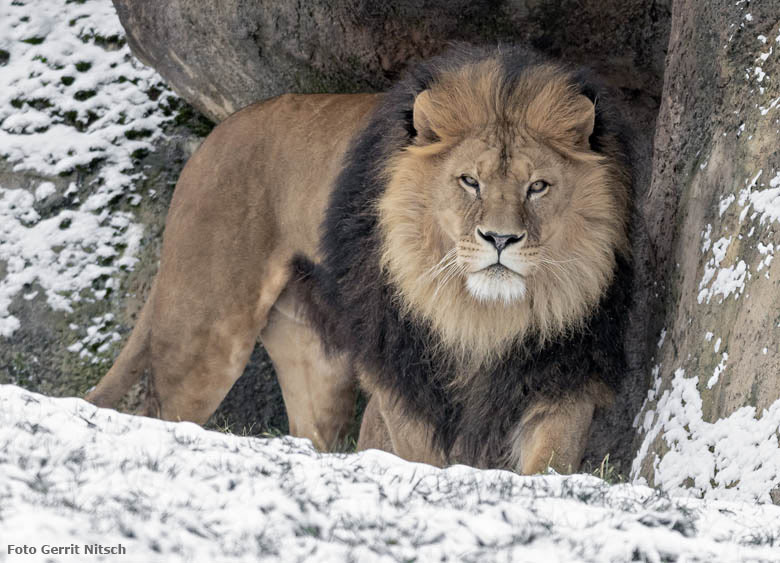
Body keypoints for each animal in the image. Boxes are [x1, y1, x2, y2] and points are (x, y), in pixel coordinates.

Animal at [87, 46, 632, 474]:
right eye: (469, 182)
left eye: (537, 186)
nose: (501, 238)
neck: (481, 316)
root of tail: (211, 140)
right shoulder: (401, 374)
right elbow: (420, 455)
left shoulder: (564, 372)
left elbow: (549, 461)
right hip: (205, 334)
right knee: (163, 409)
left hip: (313, 361)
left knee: (312, 433)